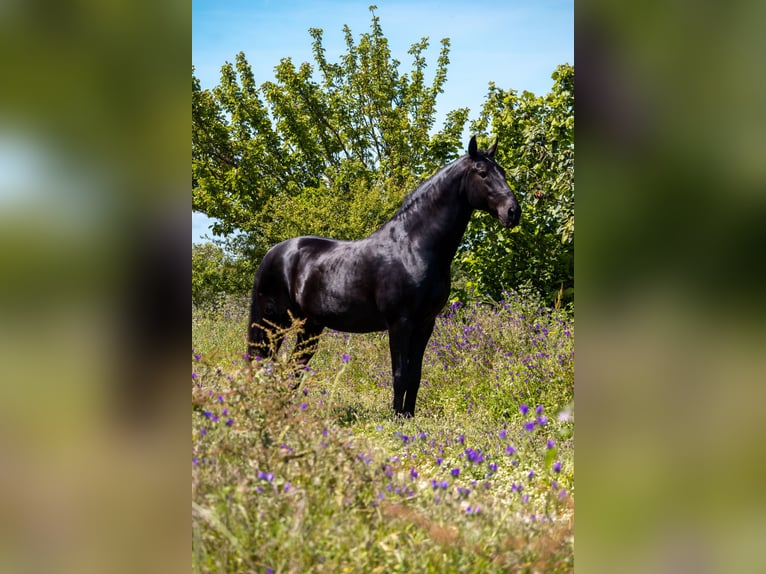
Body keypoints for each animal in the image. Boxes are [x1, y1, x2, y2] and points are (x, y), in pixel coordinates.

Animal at [250, 138, 520, 418]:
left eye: (503, 172)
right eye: (482, 173)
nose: (513, 212)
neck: (414, 246)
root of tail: (273, 253)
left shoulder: (425, 324)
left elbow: (415, 375)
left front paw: (408, 416)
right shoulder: (400, 323)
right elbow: (399, 375)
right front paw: (396, 419)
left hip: (309, 326)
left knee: (294, 367)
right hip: (274, 323)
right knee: (264, 361)